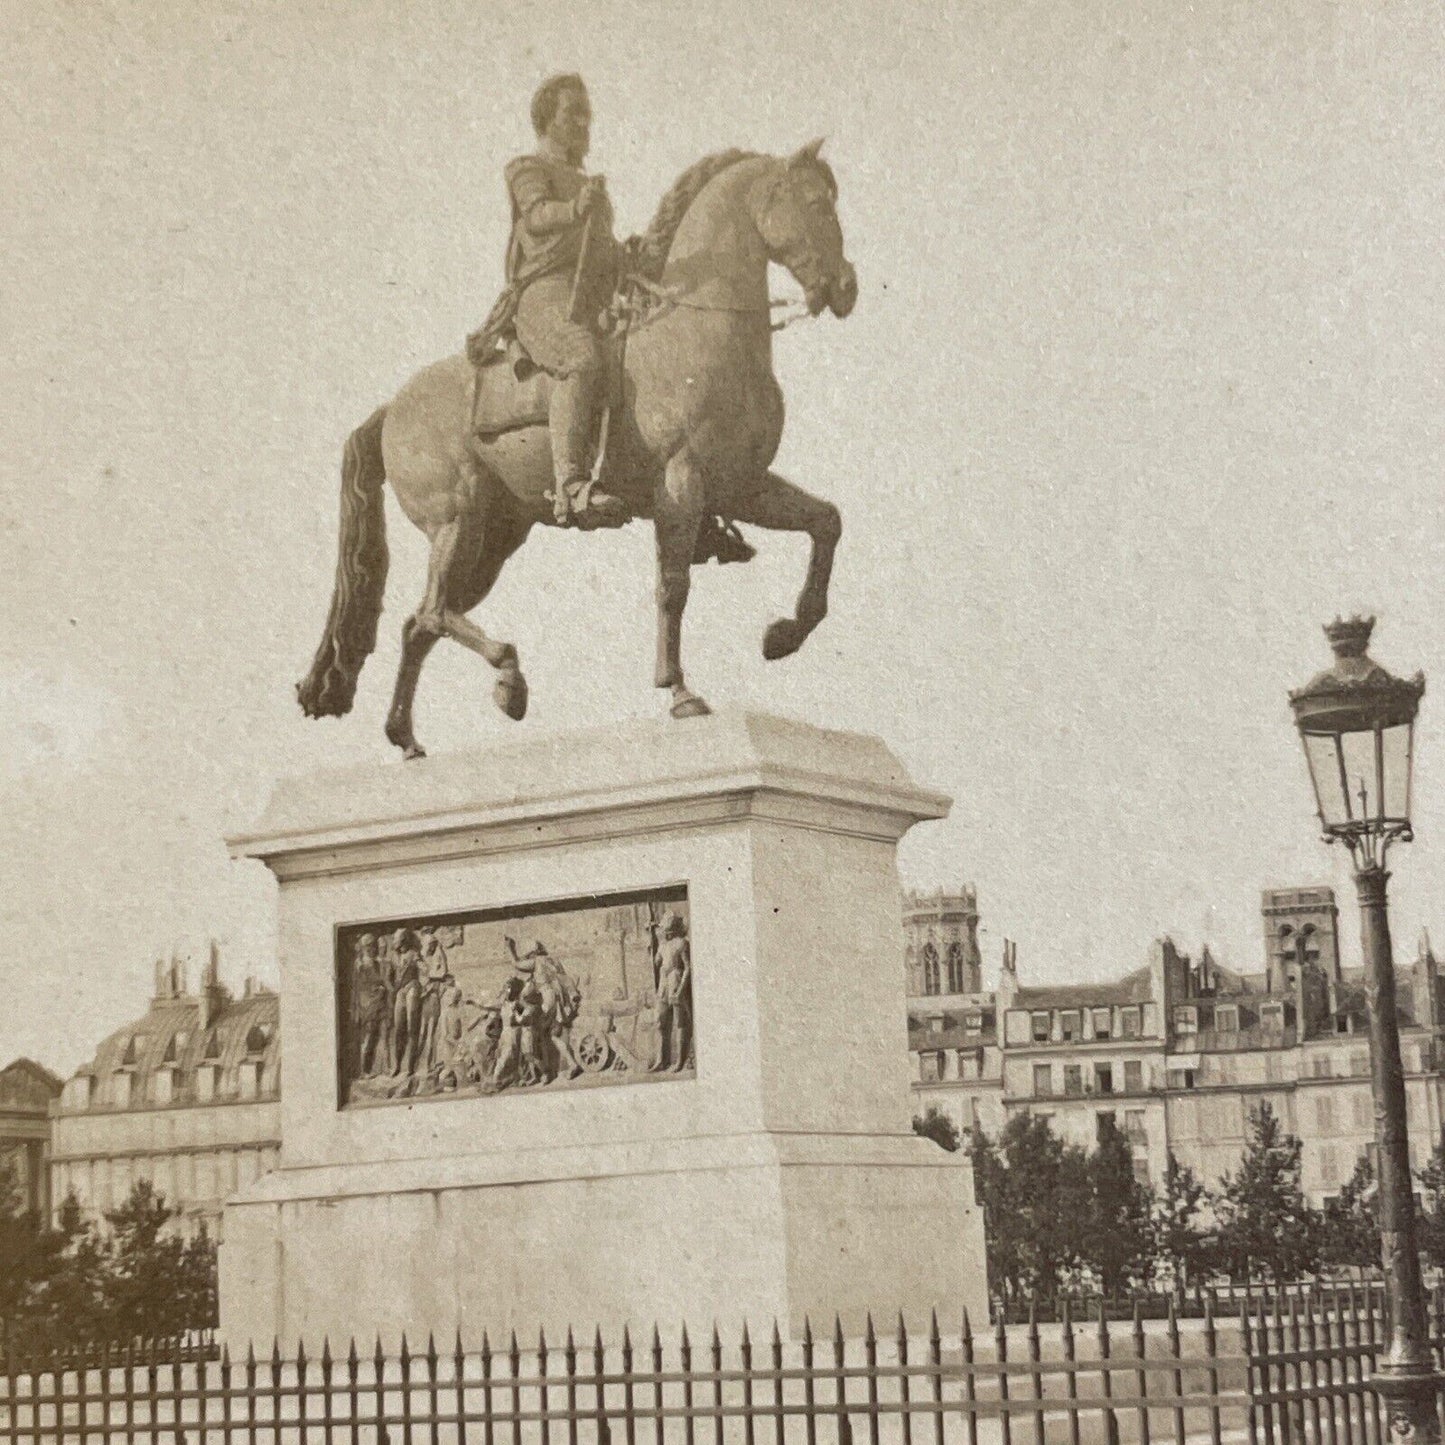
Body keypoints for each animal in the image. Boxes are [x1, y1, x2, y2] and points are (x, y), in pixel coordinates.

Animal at [296, 140, 855, 762]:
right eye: (814, 203)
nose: (845, 287)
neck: (695, 333)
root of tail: (392, 408)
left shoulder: (742, 485)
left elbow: (826, 523)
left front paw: (783, 635)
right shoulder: (680, 482)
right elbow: (673, 586)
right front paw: (679, 691)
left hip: (495, 539)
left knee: (420, 621)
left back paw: (409, 739)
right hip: (458, 522)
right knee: (435, 611)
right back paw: (509, 677)